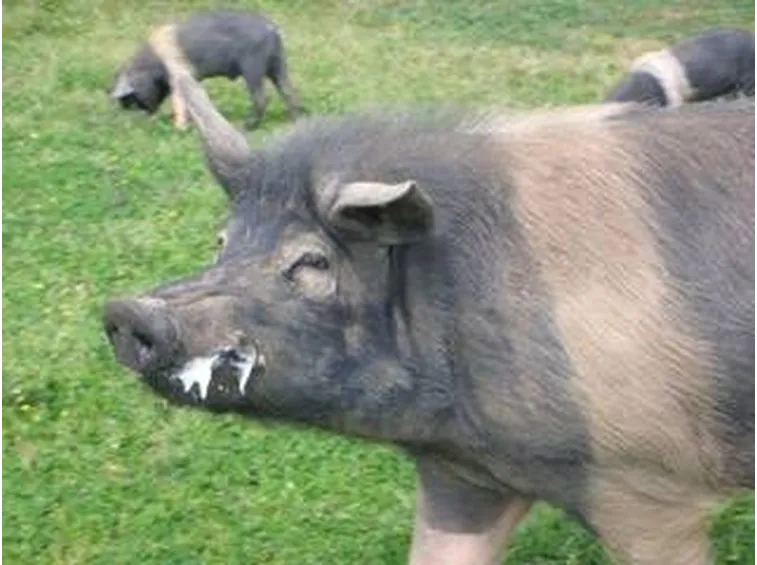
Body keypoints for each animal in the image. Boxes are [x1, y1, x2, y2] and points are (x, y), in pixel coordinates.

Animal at [107, 10, 305, 130]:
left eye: (129, 100)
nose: (143, 120)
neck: (154, 62)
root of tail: (273, 29)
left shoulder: (179, 73)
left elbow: (179, 100)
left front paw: (179, 127)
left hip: (253, 67)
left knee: (262, 97)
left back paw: (246, 126)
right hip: (278, 65)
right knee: (289, 91)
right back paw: (296, 120)